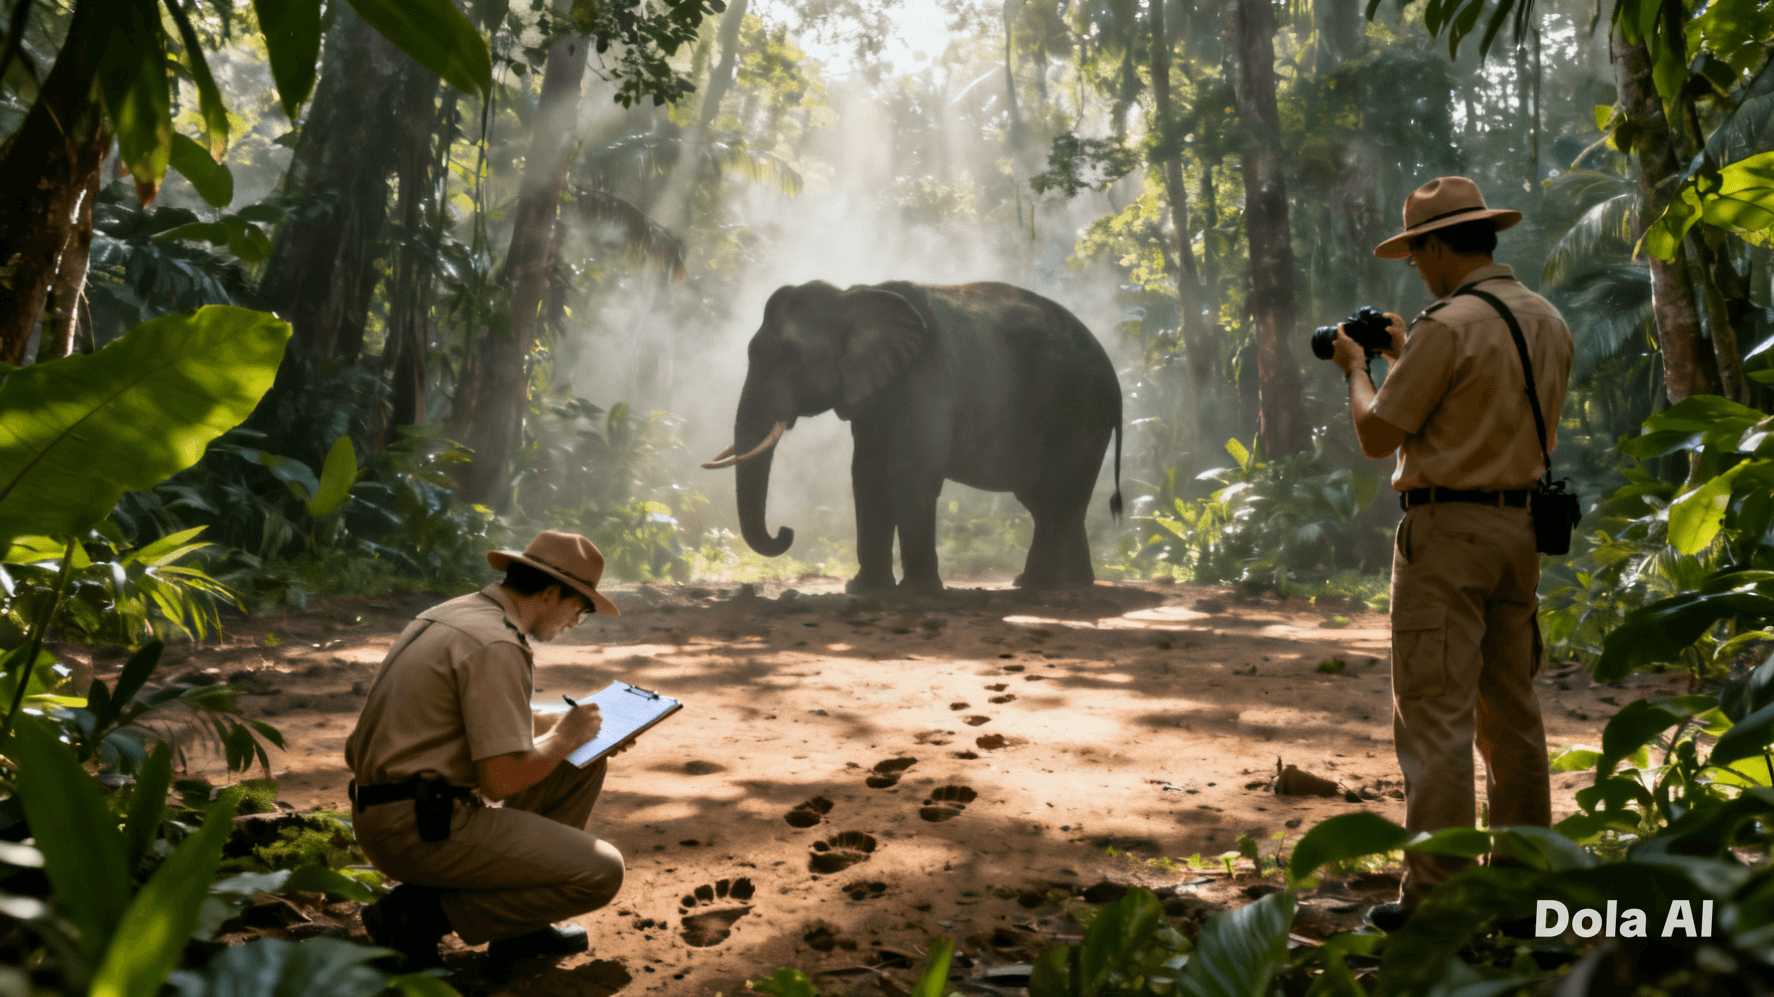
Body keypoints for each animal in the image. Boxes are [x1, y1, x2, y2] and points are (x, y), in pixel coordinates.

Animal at [704, 280, 1122, 593]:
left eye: (791, 354)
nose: (786, 531)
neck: (853, 296)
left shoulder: (930, 377)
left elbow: (910, 471)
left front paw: (919, 593)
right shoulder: (871, 394)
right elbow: (867, 474)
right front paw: (864, 590)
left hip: (1082, 413)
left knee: (1057, 494)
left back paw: (1035, 585)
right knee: (1049, 498)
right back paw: (1069, 584)